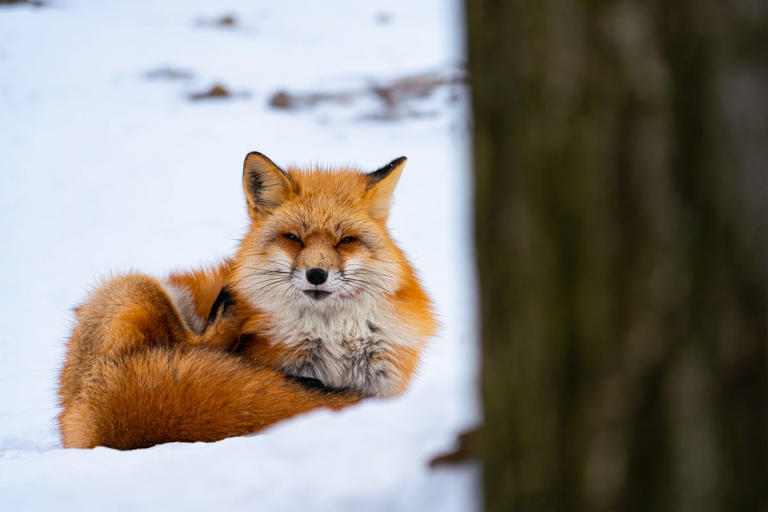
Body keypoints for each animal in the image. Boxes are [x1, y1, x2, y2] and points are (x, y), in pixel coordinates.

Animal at [58, 152, 437, 450]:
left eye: (346, 241)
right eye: (293, 238)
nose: (316, 274)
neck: (332, 337)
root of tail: (75, 407)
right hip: (138, 289)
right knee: (188, 343)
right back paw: (226, 313)